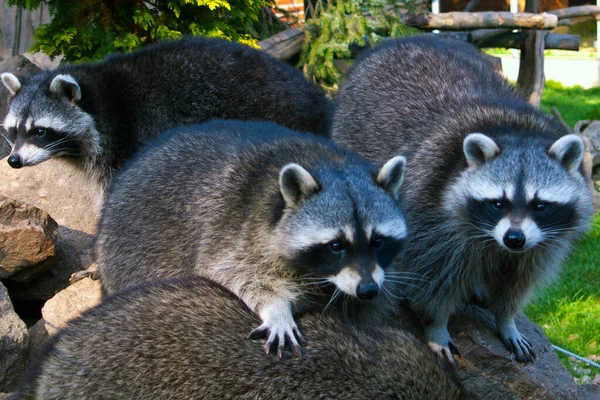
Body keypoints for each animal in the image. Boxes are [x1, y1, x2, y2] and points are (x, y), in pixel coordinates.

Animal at [98, 119, 408, 356]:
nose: (367, 289)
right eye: (335, 246)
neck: (327, 163)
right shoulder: (235, 230)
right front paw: (277, 308)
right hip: (130, 249)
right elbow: (235, 273)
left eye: (378, 242)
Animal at [330, 36, 592, 364]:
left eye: (540, 205)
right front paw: (437, 326)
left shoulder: (544, 242)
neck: (517, 131)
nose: (514, 238)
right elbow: (434, 279)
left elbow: (519, 281)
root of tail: (402, 39)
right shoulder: (431, 214)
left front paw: (507, 319)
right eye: (498, 203)